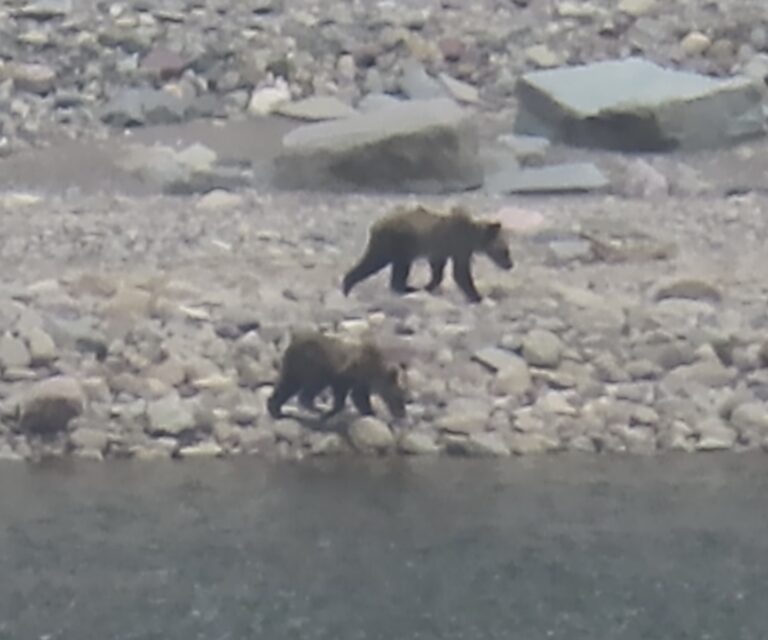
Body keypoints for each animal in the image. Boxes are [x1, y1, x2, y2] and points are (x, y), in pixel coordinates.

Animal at [268, 330, 408, 420]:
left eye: (405, 397)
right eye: (400, 396)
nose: (402, 413)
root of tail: (291, 344)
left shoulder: (361, 380)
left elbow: (358, 396)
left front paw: (369, 411)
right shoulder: (347, 374)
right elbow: (352, 396)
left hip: (294, 368)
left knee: (287, 385)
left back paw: (276, 410)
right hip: (313, 363)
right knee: (308, 388)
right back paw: (316, 408)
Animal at [340, 205, 510, 304]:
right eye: (506, 250)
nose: (510, 265)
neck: (473, 236)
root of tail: (375, 225)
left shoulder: (441, 250)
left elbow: (438, 270)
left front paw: (428, 286)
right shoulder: (458, 245)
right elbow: (460, 272)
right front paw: (477, 296)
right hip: (398, 242)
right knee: (380, 263)